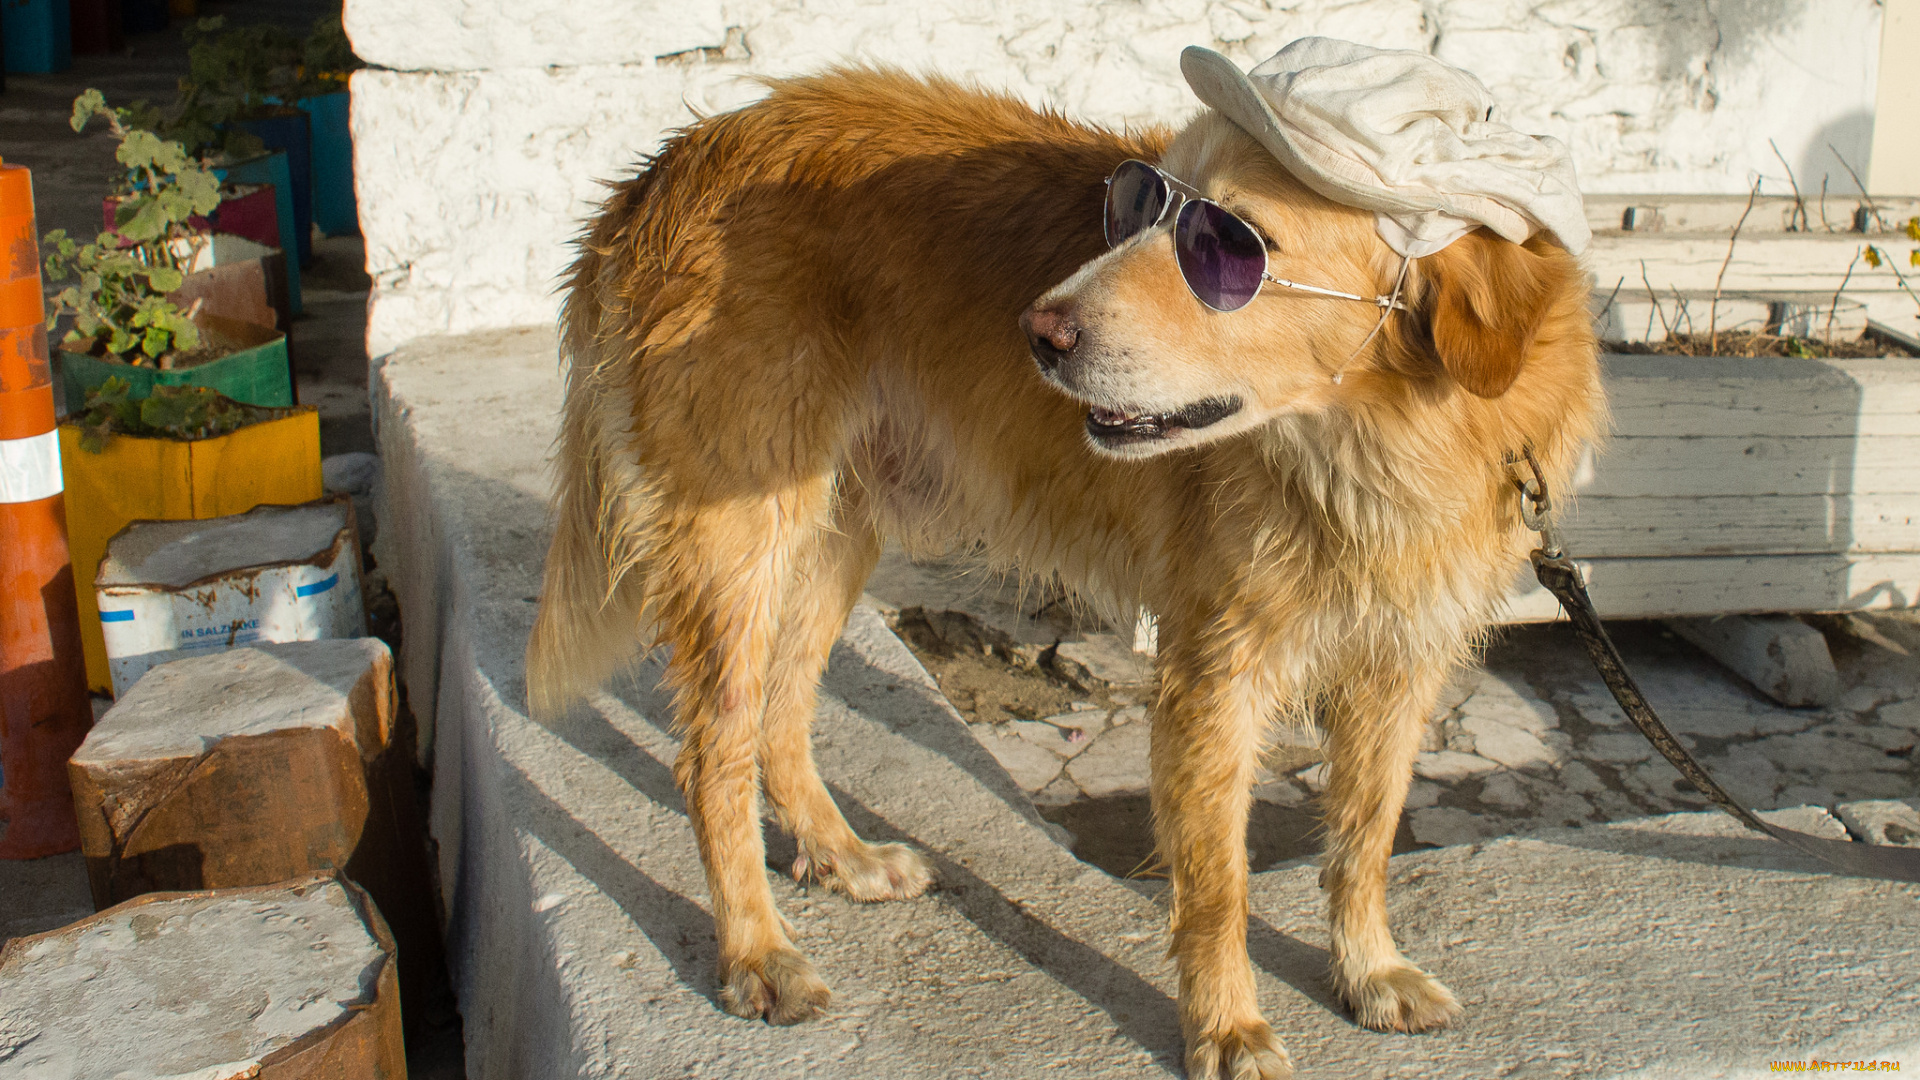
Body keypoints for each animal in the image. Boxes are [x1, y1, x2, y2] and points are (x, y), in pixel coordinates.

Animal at [529, 58, 1605, 1076]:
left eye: (1229, 245)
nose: (1035, 333)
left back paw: (838, 855)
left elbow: (1366, 834)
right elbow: (1218, 883)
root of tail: (678, 156)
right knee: (714, 750)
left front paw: (1369, 968)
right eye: (1141, 203)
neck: (1374, 446)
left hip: (835, 533)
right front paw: (1226, 1025)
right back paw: (755, 950)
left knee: (781, 711)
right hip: (741, 535)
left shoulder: (1402, 662)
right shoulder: (1215, 676)